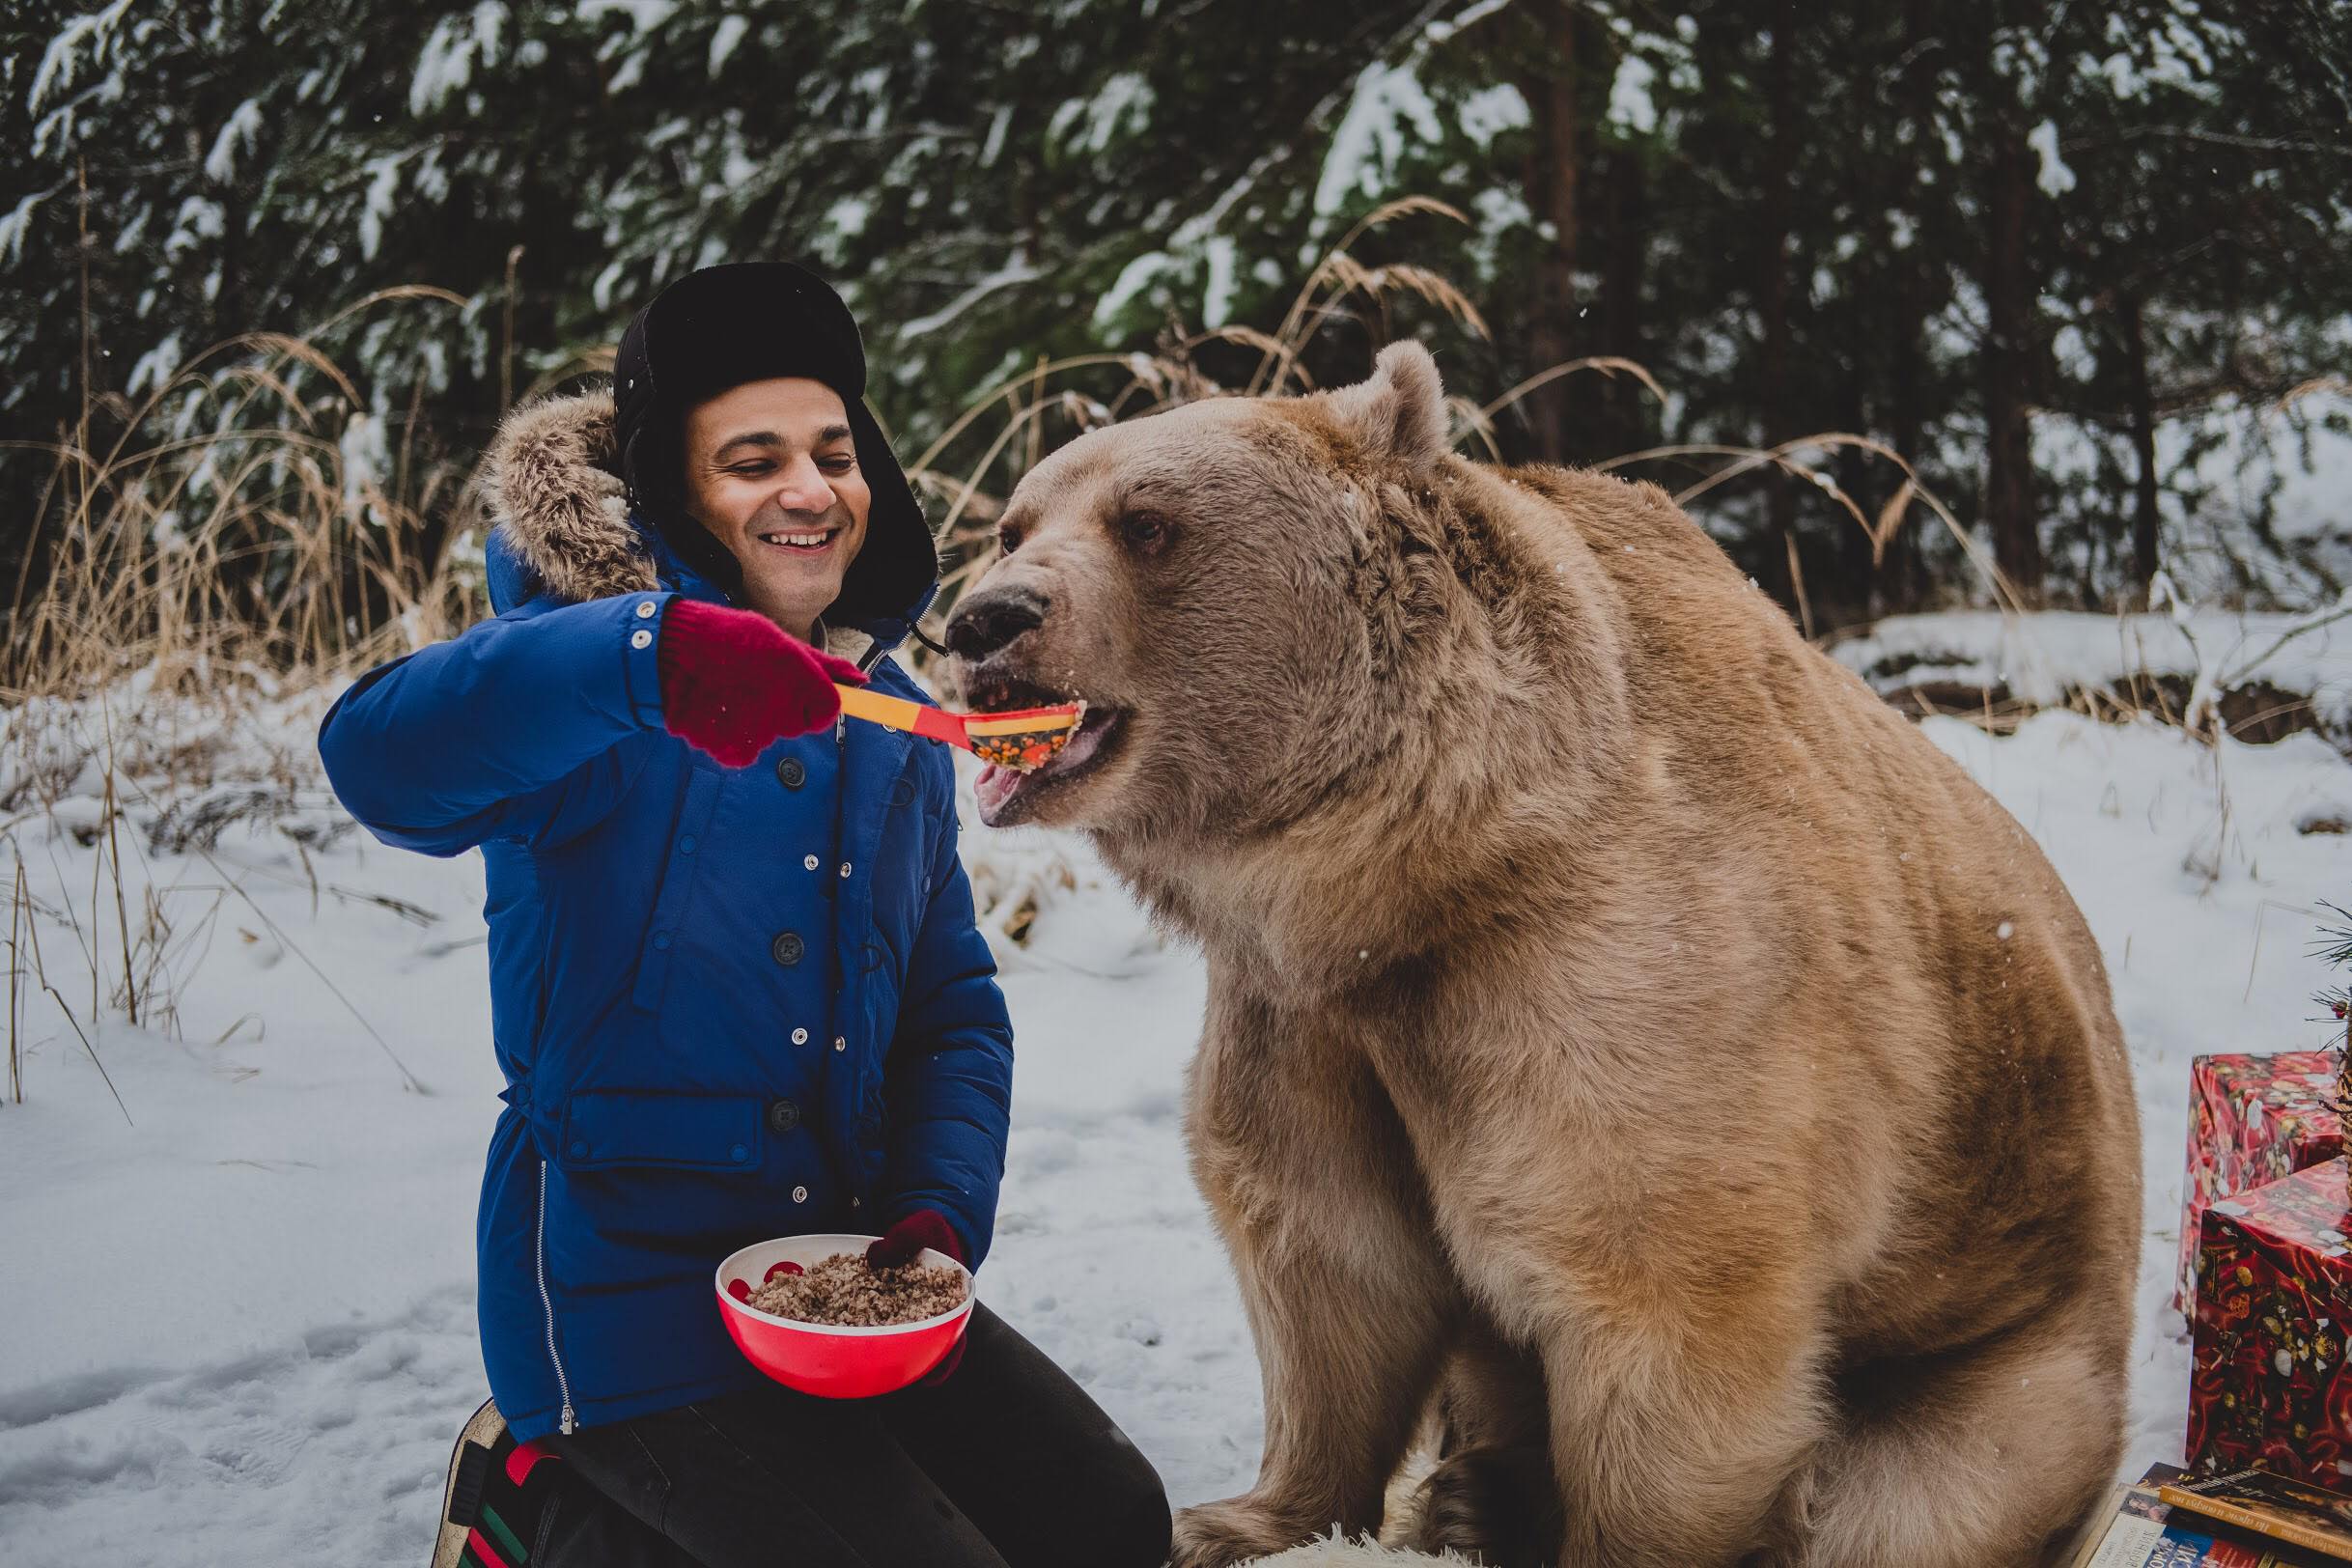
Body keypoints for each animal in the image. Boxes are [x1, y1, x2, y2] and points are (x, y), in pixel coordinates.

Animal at [940, 345, 2154, 1568]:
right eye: (1014, 523)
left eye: (1147, 522)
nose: (985, 620)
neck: (1405, 877)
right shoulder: (1302, 1016)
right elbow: (1327, 1255)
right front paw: (1237, 1518)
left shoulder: (1612, 981)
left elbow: (1662, 1295)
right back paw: (1473, 1489)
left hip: (2010, 1338)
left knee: (1908, 1501)